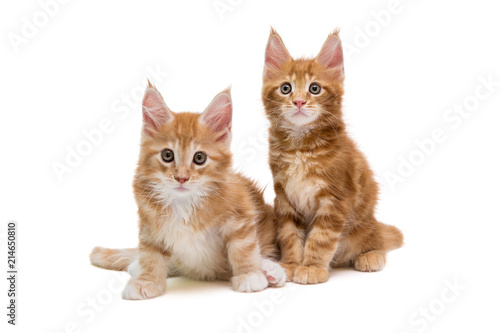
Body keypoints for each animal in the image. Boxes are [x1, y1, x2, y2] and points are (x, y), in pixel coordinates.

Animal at [90, 83, 286, 298]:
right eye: (167, 155)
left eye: (199, 158)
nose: (181, 178)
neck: (184, 203)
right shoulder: (149, 225)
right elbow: (151, 254)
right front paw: (147, 280)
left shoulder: (241, 210)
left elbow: (243, 247)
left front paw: (249, 275)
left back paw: (270, 270)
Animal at [262, 28, 402, 282]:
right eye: (286, 88)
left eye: (314, 88)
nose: (299, 101)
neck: (300, 147)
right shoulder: (284, 198)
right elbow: (289, 234)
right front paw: (291, 263)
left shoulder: (336, 198)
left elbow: (321, 237)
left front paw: (311, 267)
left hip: (363, 224)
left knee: (376, 240)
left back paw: (370, 256)